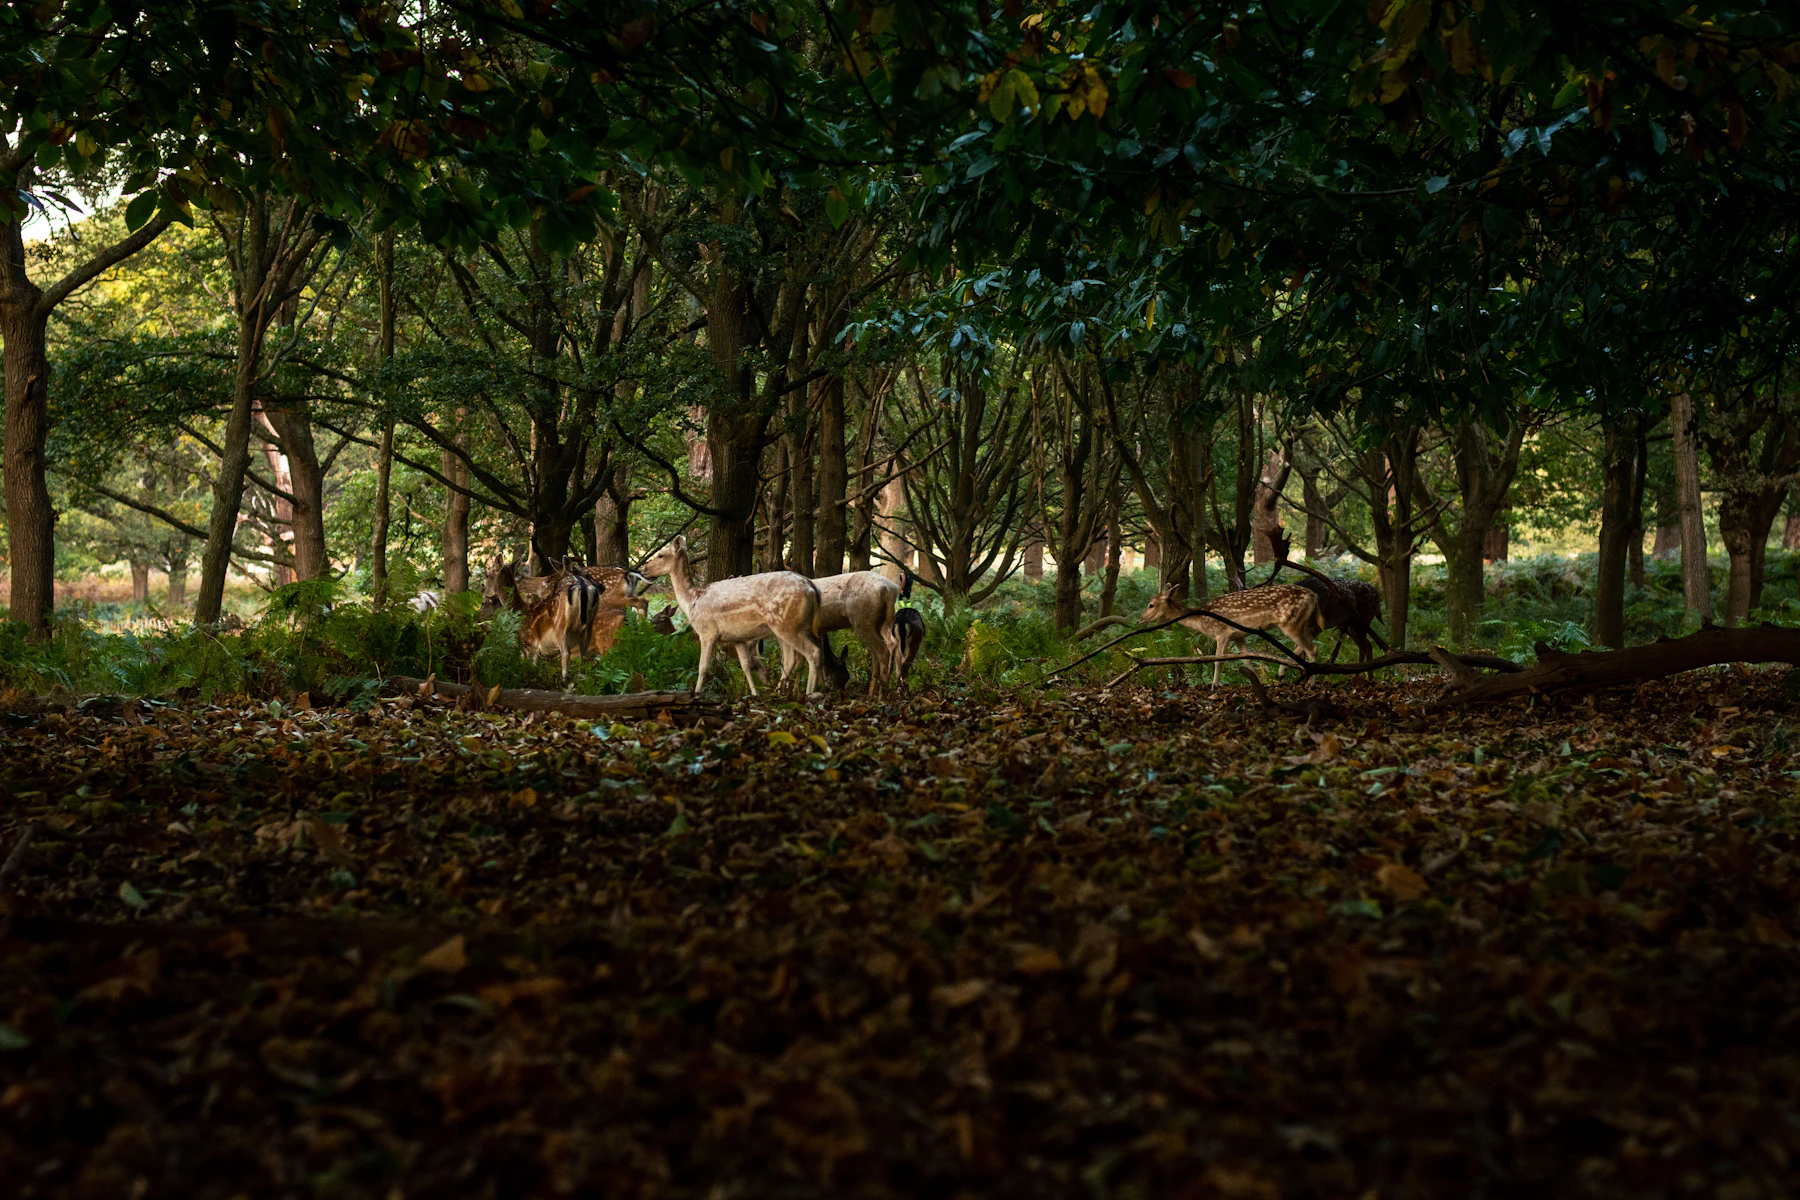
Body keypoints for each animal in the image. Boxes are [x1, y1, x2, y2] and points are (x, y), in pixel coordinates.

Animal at [639, 535, 827, 696]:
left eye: (660, 555)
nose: (643, 569)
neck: (693, 601)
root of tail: (812, 588)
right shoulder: (738, 638)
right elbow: (746, 666)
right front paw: (755, 694)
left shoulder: (707, 632)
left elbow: (702, 666)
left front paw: (697, 693)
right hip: (791, 627)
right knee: (790, 660)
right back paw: (778, 693)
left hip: (788, 625)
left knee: (813, 653)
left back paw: (808, 693)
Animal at [1140, 583, 1324, 686]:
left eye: (1151, 605)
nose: (1140, 620)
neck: (1202, 620)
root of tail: (1314, 596)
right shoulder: (1238, 636)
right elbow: (1247, 660)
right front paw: (1257, 682)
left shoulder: (1222, 633)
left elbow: (1217, 661)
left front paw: (1214, 686)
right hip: (1299, 623)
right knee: (1307, 643)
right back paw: (1283, 672)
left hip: (1290, 623)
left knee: (1312, 648)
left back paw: (1310, 683)